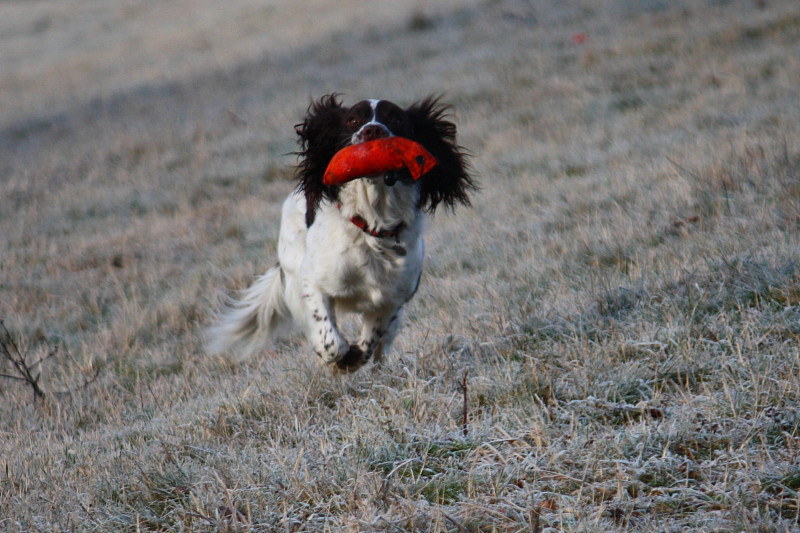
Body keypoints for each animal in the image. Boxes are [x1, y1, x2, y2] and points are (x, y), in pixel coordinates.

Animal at [206, 95, 476, 370]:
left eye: (396, 119)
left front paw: (358, 354)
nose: (372, 130)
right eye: (353, 121)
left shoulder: (394, 297)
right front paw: (342, 357)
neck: (372, 224)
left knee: (382, 347)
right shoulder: (312, 281)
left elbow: (373, 335)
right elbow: (329, 337)